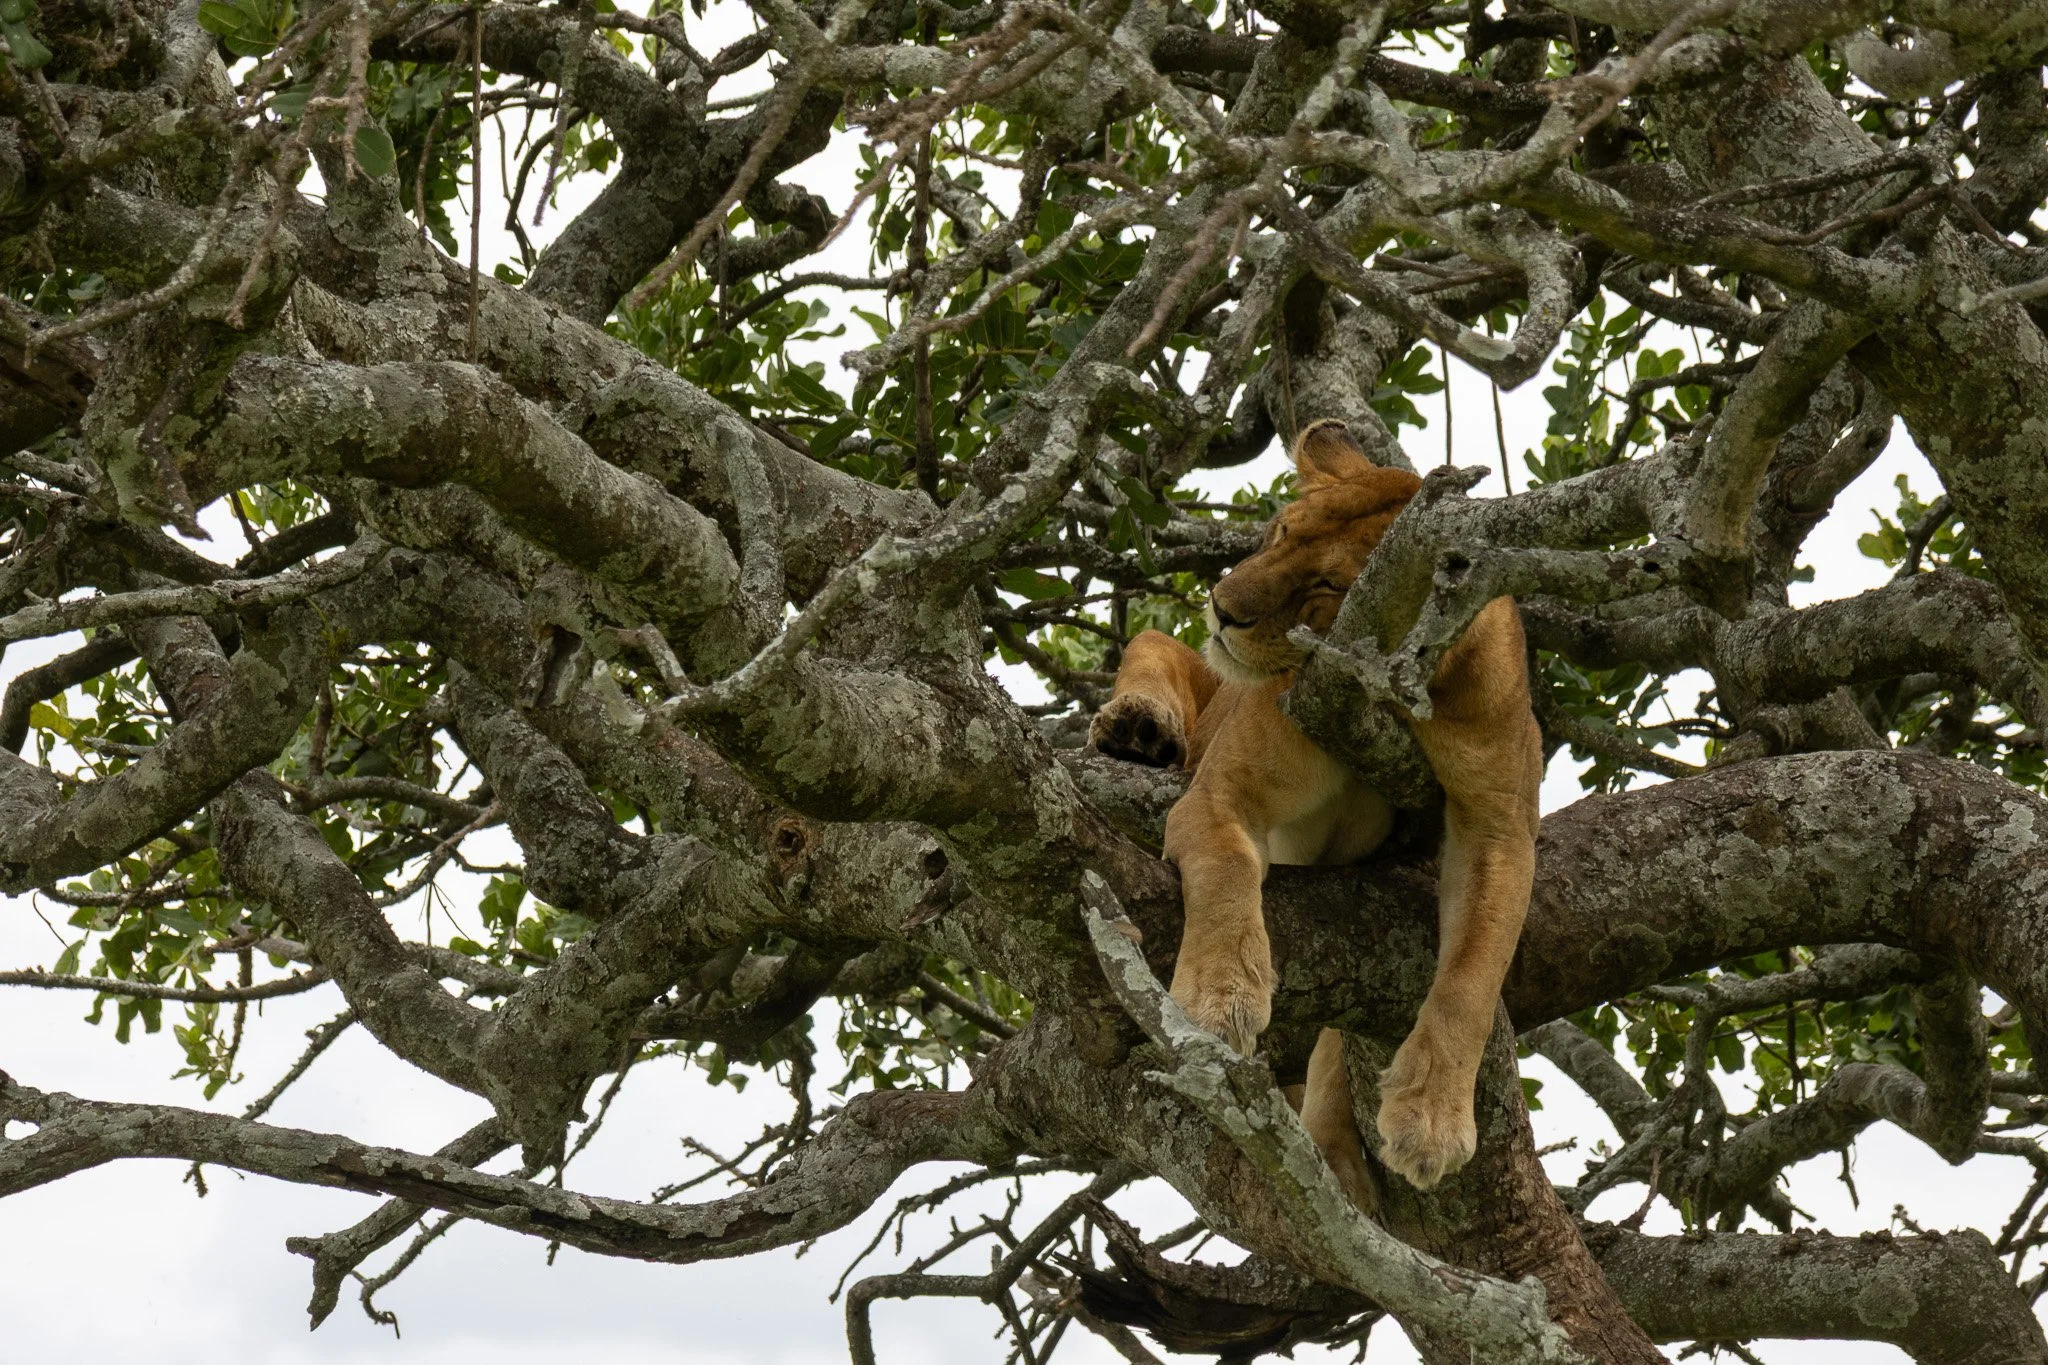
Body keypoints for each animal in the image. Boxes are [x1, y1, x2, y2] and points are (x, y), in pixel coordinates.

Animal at [1089, 418, 1542, 1200]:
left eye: (1329, 584)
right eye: (1277, 532)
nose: (1222, 608)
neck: (1400, 698)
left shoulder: (1498, 831)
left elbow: (1471, 977)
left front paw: (1431, 1117)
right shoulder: (1222, 792)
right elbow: (1228, 866)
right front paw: (1219, 999)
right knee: (1153, 644)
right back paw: (1136, 730)